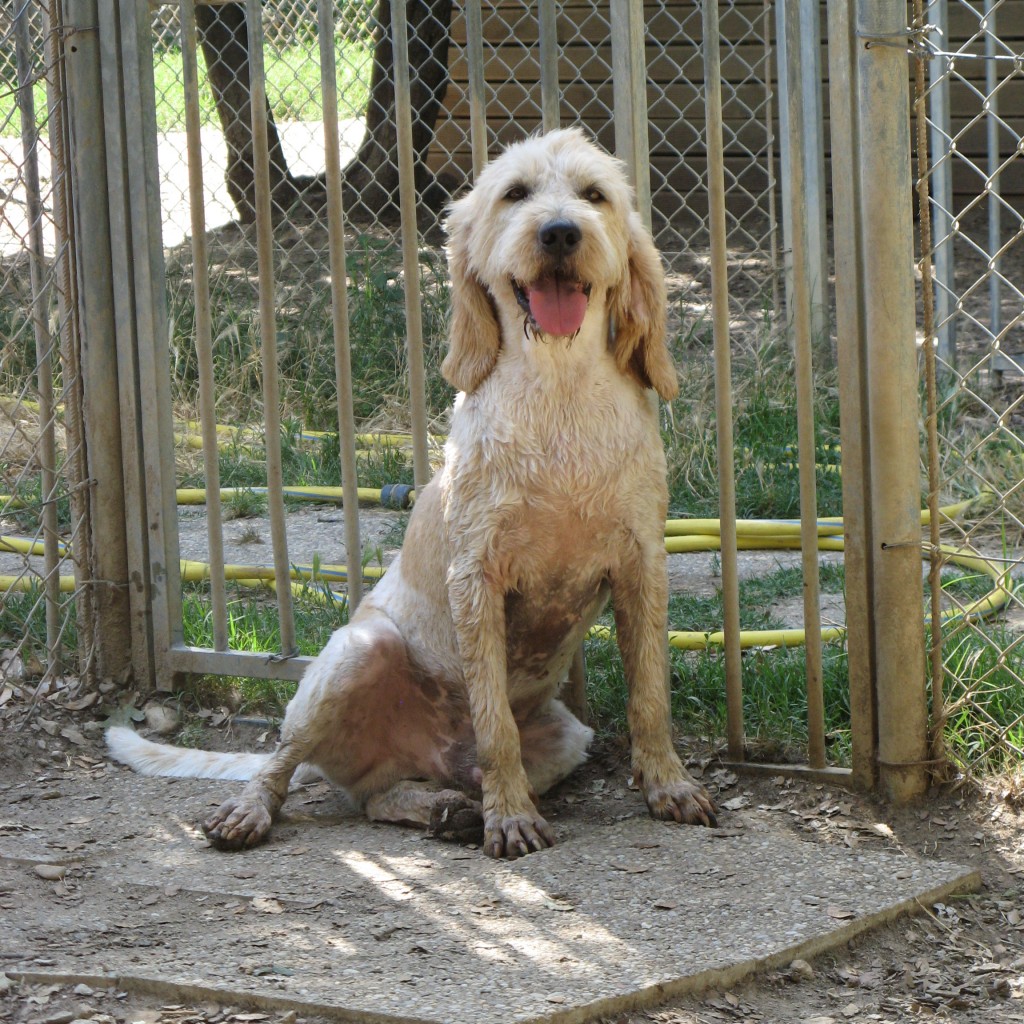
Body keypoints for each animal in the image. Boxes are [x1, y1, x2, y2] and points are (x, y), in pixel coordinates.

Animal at [108, 132, 716, 860]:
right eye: (515, 194)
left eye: (594, 195)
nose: (560, 232)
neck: (559, 396)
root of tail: (428, 752)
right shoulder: (476, 578)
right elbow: (495, 725)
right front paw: (512, 819)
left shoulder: (641, 568)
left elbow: (650, 698)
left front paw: (668, 785)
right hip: (354, 655)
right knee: (286, 760)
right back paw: (254, 809)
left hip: (565, 736)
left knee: (380, 796)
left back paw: (445, 809)